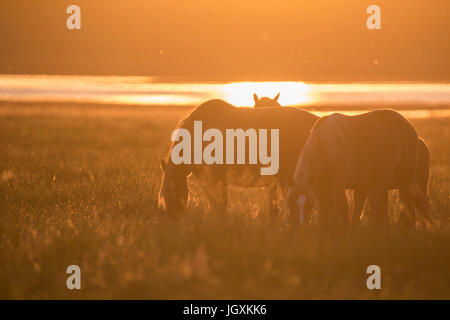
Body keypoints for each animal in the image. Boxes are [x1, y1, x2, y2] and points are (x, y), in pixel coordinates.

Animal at [286, 110, 430, 228]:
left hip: (407, 180)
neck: (327, 148)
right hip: (385, 184)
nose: (299, 228)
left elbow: (337, 215)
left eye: (307, 206)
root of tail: (409, 127)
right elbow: (326, 214)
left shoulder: (338, 186)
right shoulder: (321, 188)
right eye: (291, 205)